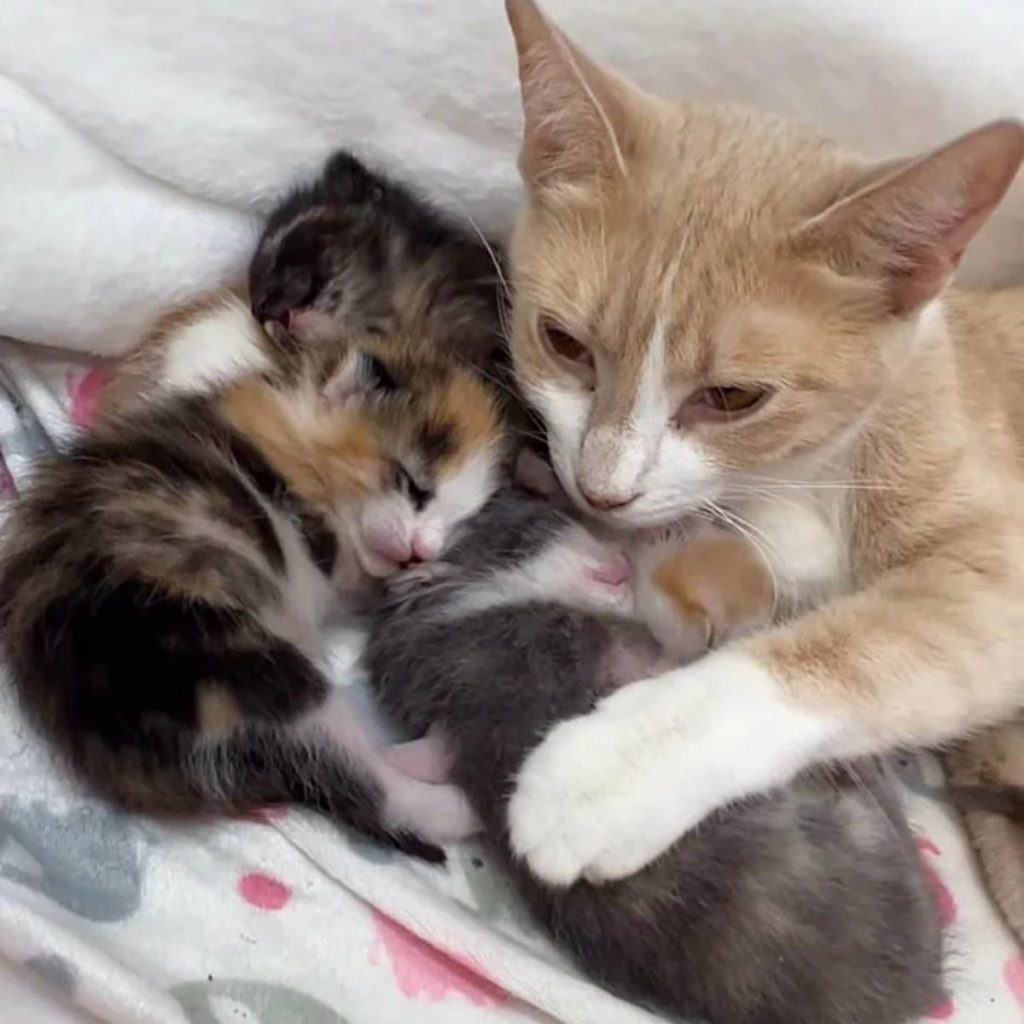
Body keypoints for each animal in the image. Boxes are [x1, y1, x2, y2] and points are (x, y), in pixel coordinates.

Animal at [0, 323, 503, 860]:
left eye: (458, 521)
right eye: (413, 485)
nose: (420, 552)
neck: (293, 425)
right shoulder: (317, 533)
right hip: (244, 660)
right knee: (361, 783)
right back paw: (459, 797)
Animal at [499, 0, 1024, 884]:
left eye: (732, 397)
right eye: (563, 344)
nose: (603, 488)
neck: (803, 474)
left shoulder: (995, 559)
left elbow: (860, 647)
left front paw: (616, 768)